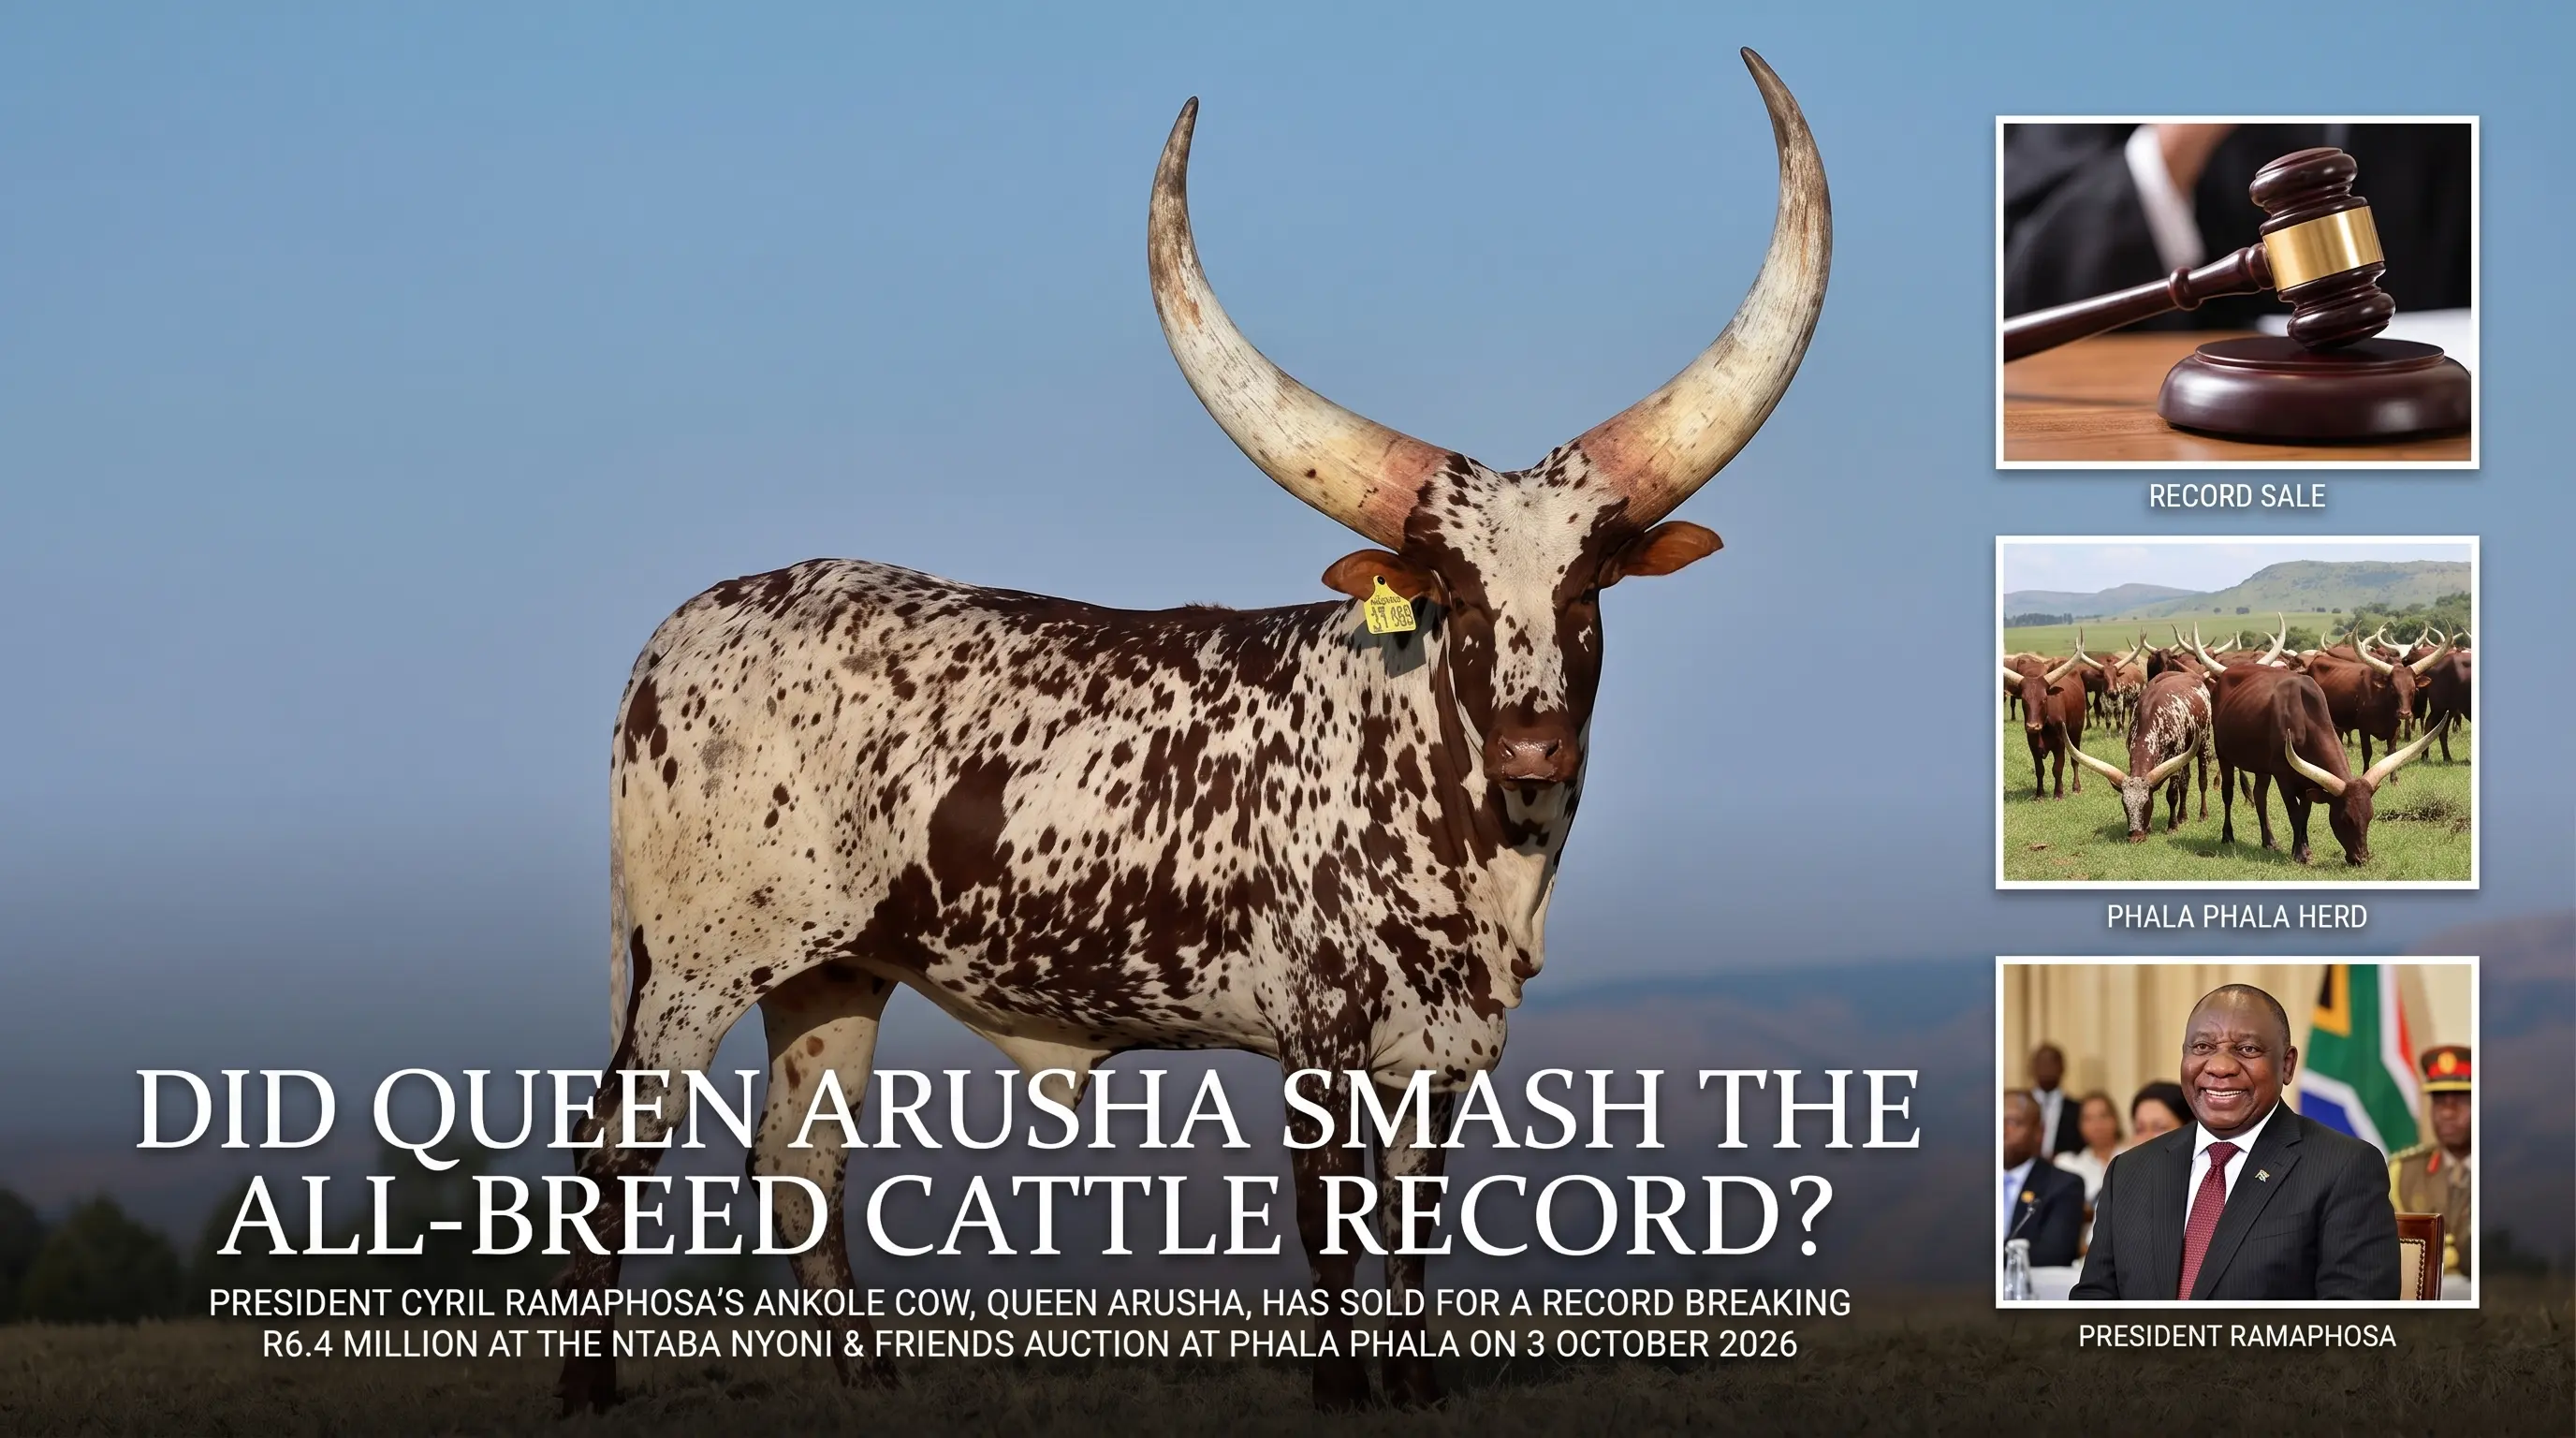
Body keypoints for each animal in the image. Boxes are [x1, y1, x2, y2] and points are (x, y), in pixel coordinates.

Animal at [553, 50, 1831, 1416]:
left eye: (1588, 588)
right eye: (1451, 594)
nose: (1534, 746)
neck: (1469, 830)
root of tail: (683, 628)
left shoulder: (1445, 1049)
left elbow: (1413, 1225)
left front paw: (1416, 1384)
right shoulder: (1318, 1028)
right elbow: (1332, 1220)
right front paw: (1342, 1390)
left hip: (831, 971)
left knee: (800, 1164)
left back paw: (870, 1379)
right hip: (689, 964)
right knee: (617, 1145)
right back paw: (591, 1389)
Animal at [2004, 651, 2093, 799]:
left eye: (2044, 699)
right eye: (2024, 700)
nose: (2033, 726)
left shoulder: (2060, 743)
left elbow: (2057, 768)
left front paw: (2058, 794)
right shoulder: (2032, 744)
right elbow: (2040, 770)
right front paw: (2039, 795)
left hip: (2076, 733)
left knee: (2075, 760)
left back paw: (2076, 788)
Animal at [2070, 668, 2211, 839]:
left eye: (2146, 802)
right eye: (2124, 804)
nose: (2135, 836)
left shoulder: (2175, 758)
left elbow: (2172, 794)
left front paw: (2172, 826)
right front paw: (2149, 826)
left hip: (2204, 743)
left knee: (2202, 781)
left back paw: (2203, 814)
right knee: (2185, 782)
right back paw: (2182, 816)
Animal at [2208, 665, 2444, 865]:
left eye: (2370, 817)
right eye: (2346, 819)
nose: (2361, 859)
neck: (2303, 719)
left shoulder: (2308, 780)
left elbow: (2304, 815)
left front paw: (2303, 848)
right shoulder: (2284, 778)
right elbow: (2294, 814)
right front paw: (2300, 854)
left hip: (2261, 767)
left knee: (2259, 796)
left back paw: (2269, 841)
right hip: (2223, 755)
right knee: (2228, 793)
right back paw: (2227, 835)